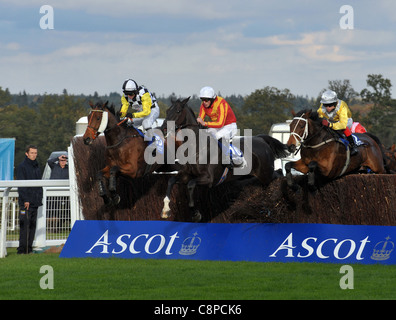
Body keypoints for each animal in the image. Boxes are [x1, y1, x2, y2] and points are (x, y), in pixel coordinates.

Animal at [160, 99, 288, 221]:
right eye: (167, 111)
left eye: (178, 111)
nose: (163, 128)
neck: (196, 147)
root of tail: (262, 140)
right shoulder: (186, 174)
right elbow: (171, 181)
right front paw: (165, 210)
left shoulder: (209, 179)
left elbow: (191, 185)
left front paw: (196, 214)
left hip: (266, 174)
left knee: (278, 174)